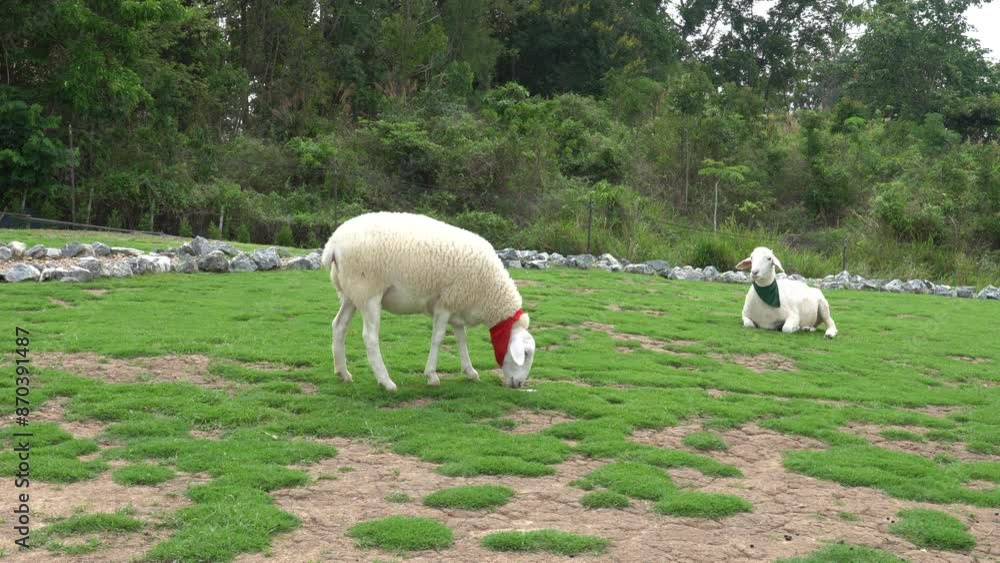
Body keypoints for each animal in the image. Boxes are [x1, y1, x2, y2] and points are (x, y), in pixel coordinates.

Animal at [320, 212, 536, 391]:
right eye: (525, 354)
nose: (519, 384)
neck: (489, 293)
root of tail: (333, 244)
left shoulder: (457, 303)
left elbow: (461, 338)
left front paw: (470, 371)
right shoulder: (445, 303)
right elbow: (438, 338)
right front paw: (431, 375)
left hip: (351, 293)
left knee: (339, 325)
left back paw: (343, 373)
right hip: (369, 292)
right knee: (370, 337)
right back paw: (386, 381)